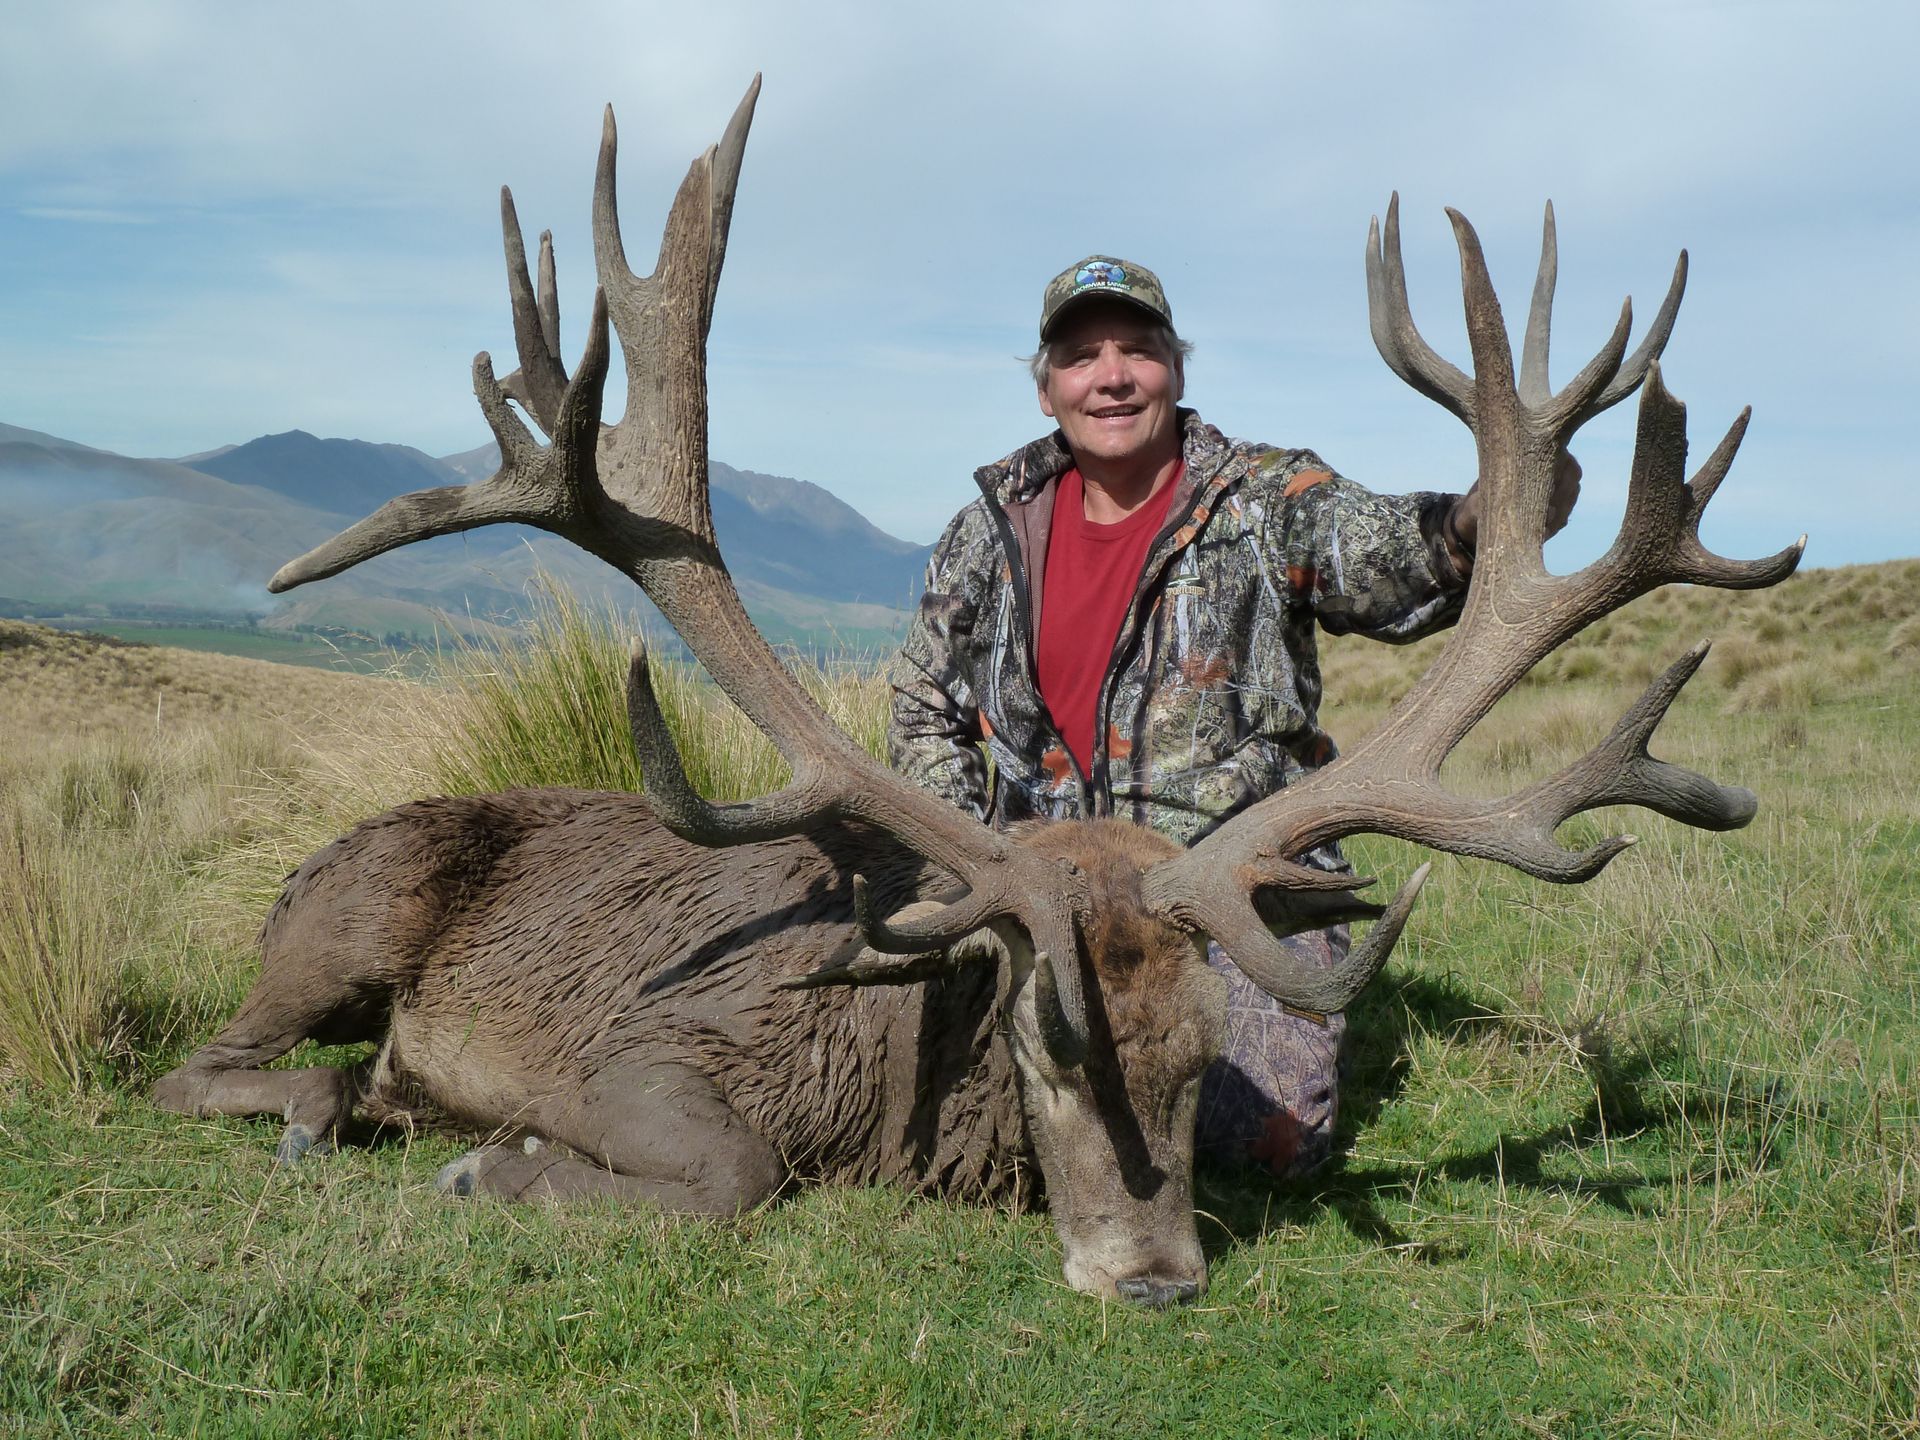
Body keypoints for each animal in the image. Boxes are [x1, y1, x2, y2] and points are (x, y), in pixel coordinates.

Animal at [151, 77, 1802, 1306]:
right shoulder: (650, 1057)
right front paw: (486, 1163)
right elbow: (731, 1174)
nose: (1157, 1279)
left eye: (1204, 1062)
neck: (891, 1074)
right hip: (345, 918)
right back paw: (333, 1109)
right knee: (208, 1062)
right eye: (1042, 1041)